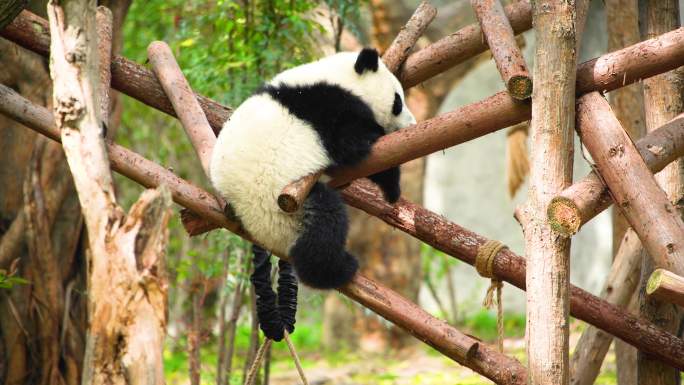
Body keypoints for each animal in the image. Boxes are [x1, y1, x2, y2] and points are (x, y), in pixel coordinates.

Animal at [210, 47, 416, 288]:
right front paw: (392, 188)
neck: (340, 78)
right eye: (398, 101)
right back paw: (337, 269)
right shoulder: (331, 108)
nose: (412, 123)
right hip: (279, 204)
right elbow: (357, 148)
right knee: (326, 223)